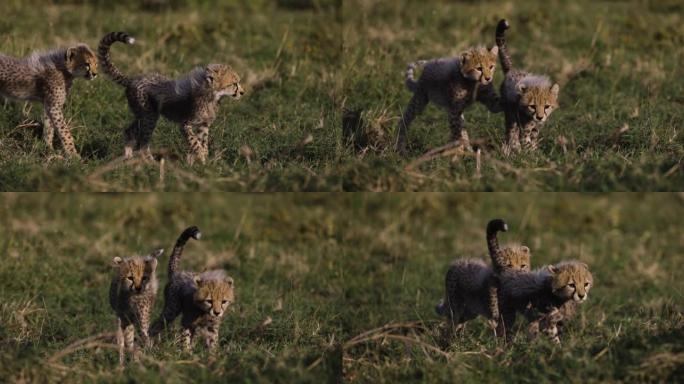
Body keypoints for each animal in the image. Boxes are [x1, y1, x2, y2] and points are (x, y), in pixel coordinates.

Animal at [99, 32, 243, 164]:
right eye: (234, 84)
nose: (242, 92)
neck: (211, 96)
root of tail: (133, 79)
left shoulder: (203, 125)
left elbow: (201, 142)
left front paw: (199, 163)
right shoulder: (185, 124)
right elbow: (195, 142)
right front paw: (201, 157)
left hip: (143, 115)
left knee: (129, 131)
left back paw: (128, 157)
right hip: (149, 116)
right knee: (143, 142)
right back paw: (150, 162)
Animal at [494, 18, 560, 152]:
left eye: (546, 106)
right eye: (532, 106)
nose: (539, 117)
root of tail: (512, 70)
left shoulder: (536, 127)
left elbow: (533, 138)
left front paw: (534, 151)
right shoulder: (524, 124)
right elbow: (524, 139)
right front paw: (525, 151)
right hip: (510, 112)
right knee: (511, 130)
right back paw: (511, 147)